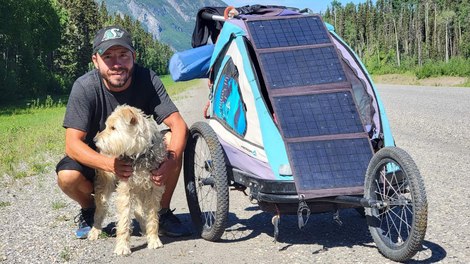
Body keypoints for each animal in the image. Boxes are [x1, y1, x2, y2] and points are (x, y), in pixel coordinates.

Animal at [89, 104, 168, 256]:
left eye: (113, 127)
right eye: (107, 126)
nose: (95, 140)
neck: (139, 153)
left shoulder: (154, 188)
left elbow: (153, 217)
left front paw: (154, 239)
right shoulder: (125, 189)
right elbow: (124, 220)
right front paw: (122, 246)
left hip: (141, 189)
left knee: (138, 211)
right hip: (105, 185)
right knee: (99, 210)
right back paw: (95, 230)